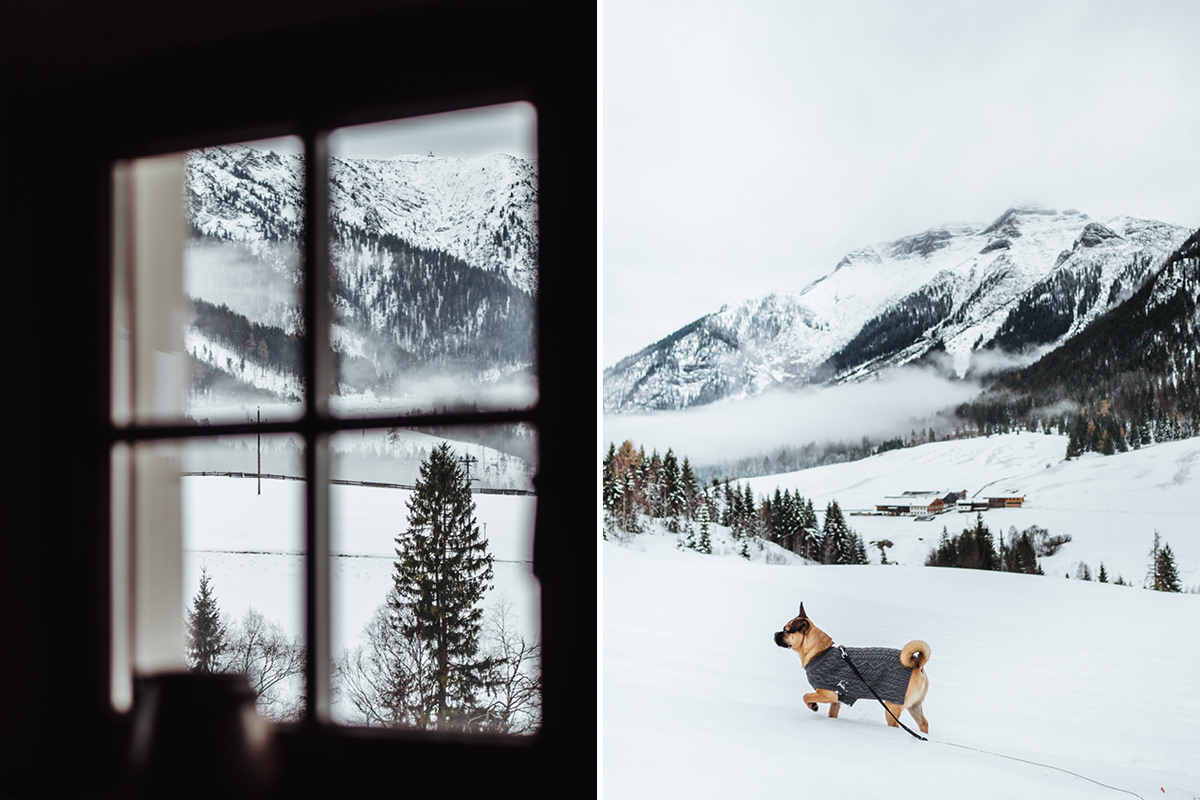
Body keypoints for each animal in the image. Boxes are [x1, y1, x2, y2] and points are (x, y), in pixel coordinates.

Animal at [772, 604, 931, 734]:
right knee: (924, 723)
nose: (774, 634)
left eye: (786, 631)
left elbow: (806, 696)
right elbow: (832, 714)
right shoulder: (836, 700)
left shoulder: (829, 694)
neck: (819, 652)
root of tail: (917, 663)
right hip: (914, 706)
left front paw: (813, 706)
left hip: (892, 707)